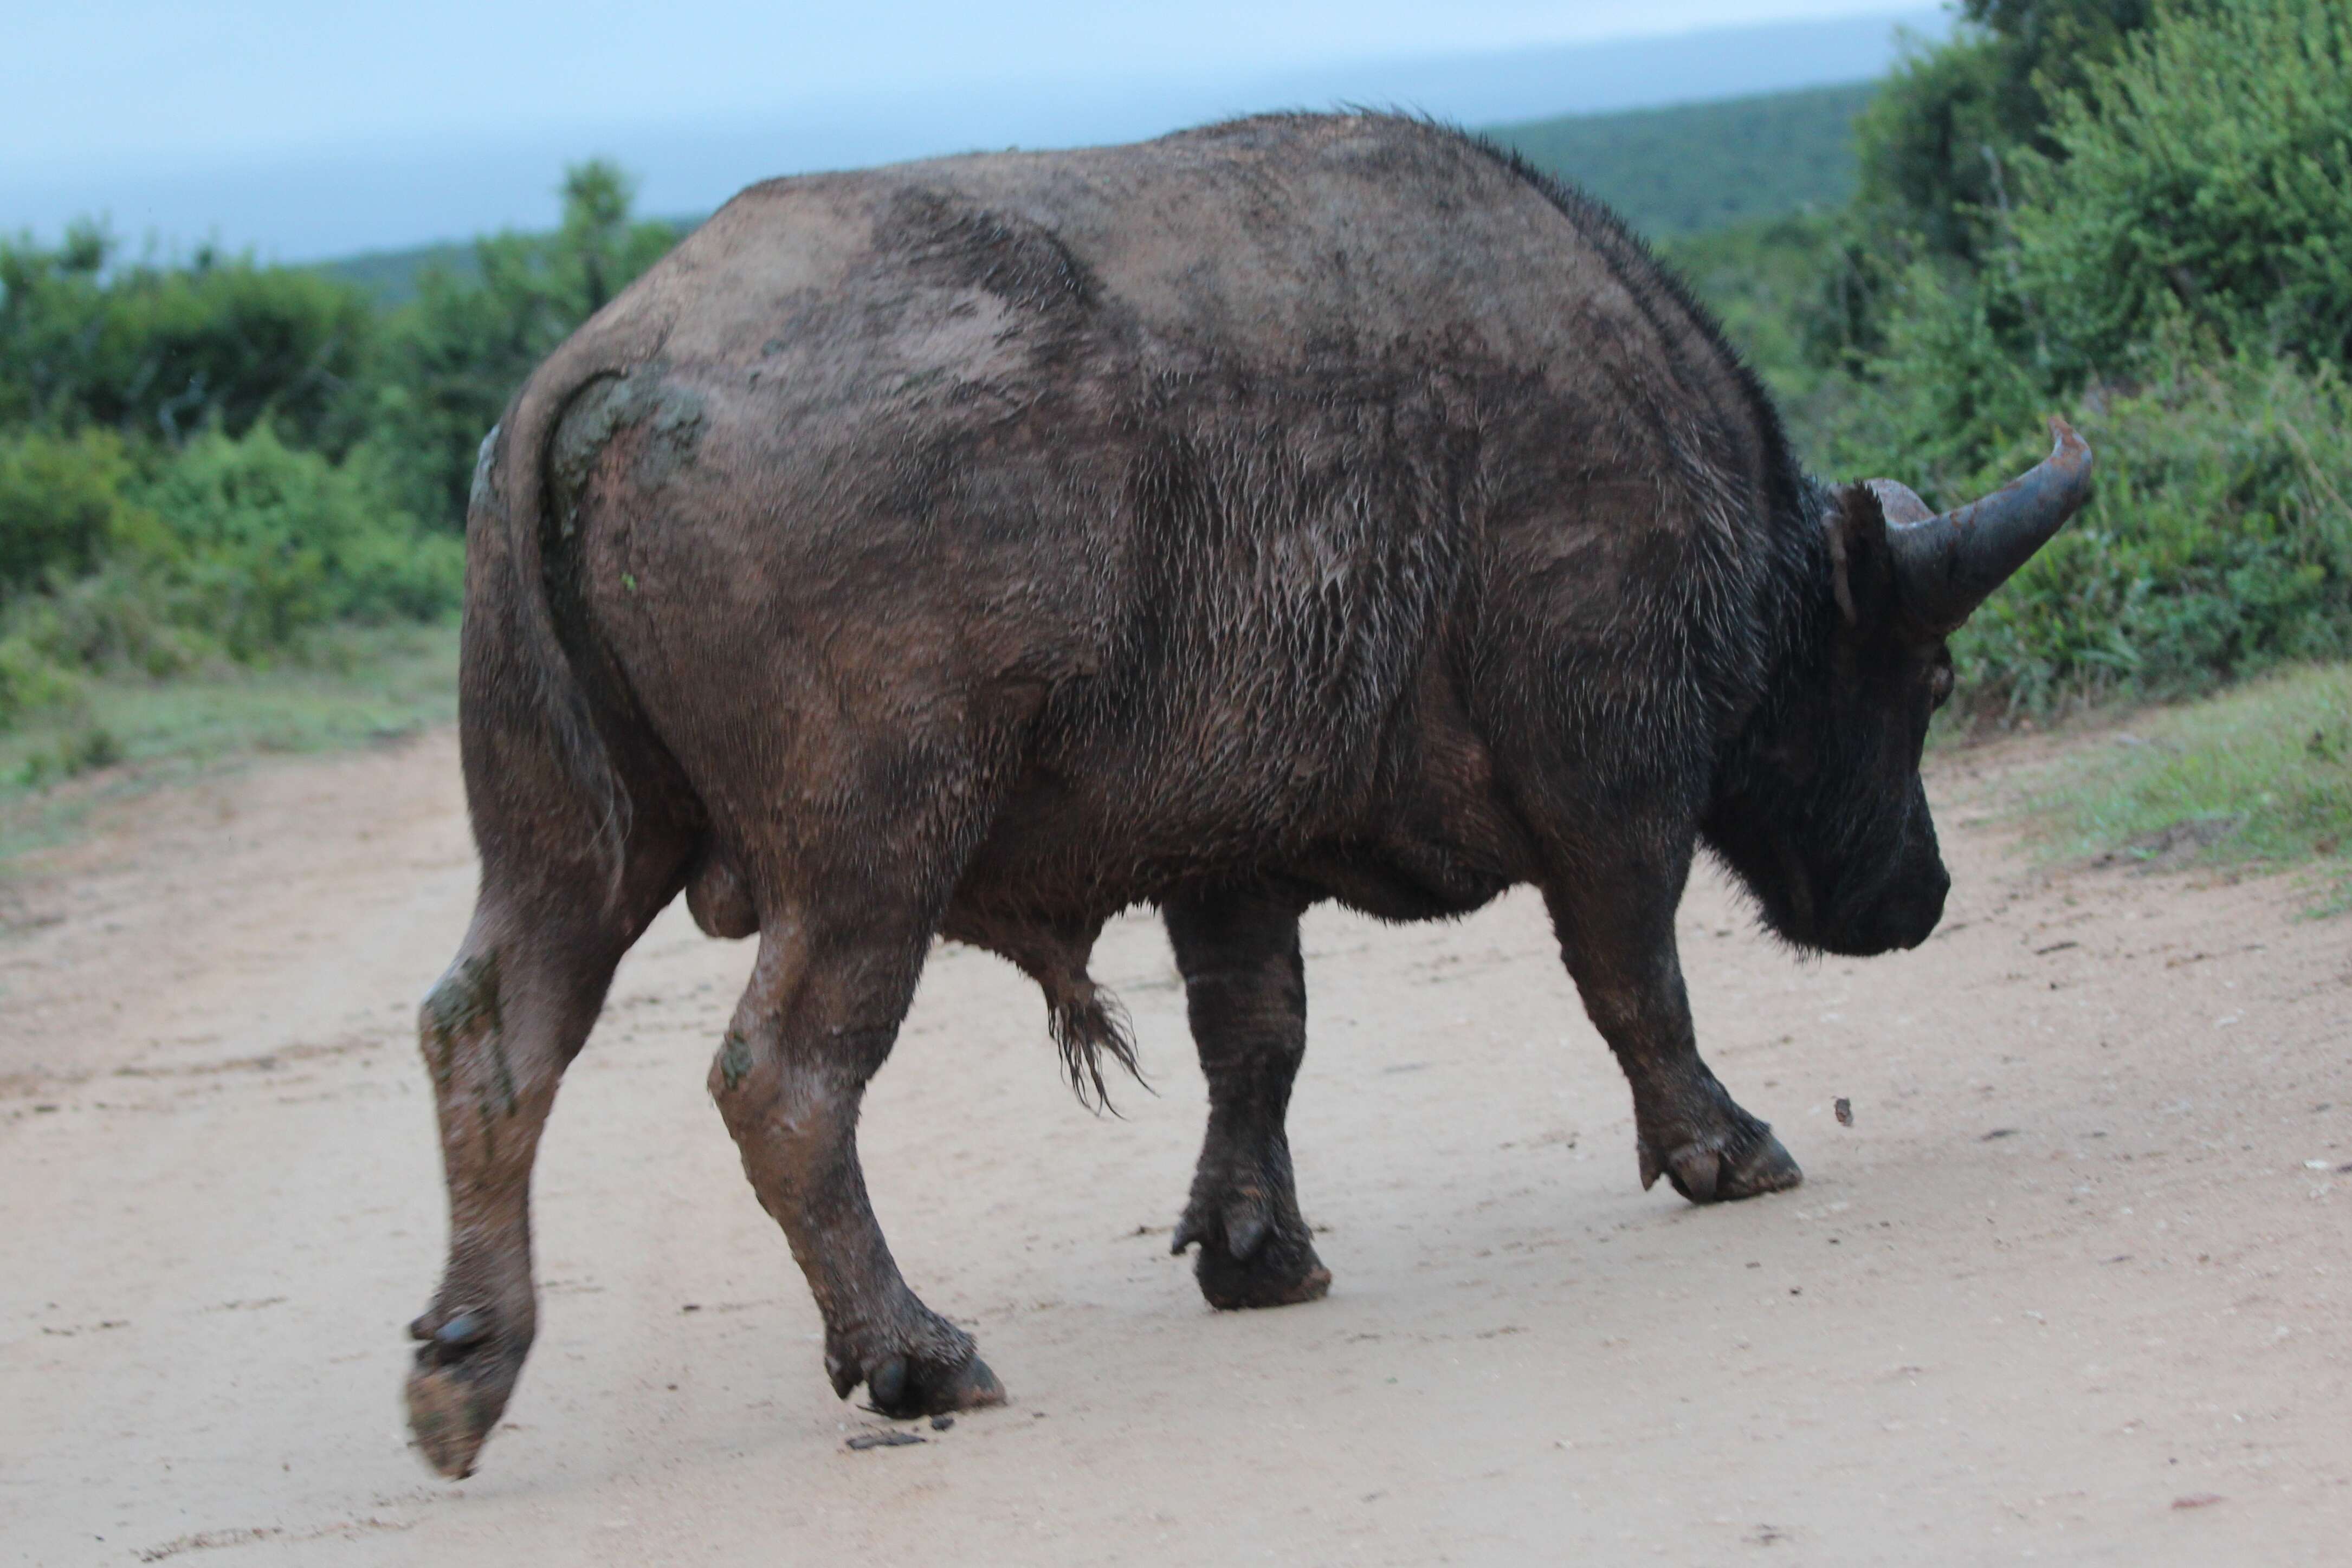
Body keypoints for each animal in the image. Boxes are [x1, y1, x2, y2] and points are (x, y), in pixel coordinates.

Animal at [404, 110, 2098, 1476]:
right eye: (1928, 679)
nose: (1918, 893)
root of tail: (614, 360)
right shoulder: (1609, 786)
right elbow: (1638, 981)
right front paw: (1724, 1147)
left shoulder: (1227, 850)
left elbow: (1255, 1039)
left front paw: (1252, 1246)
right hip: (873, 853)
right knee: (783, 1080)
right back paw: (913, 1352)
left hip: (565, 844)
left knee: (489, 1033)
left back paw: (468, 1360)